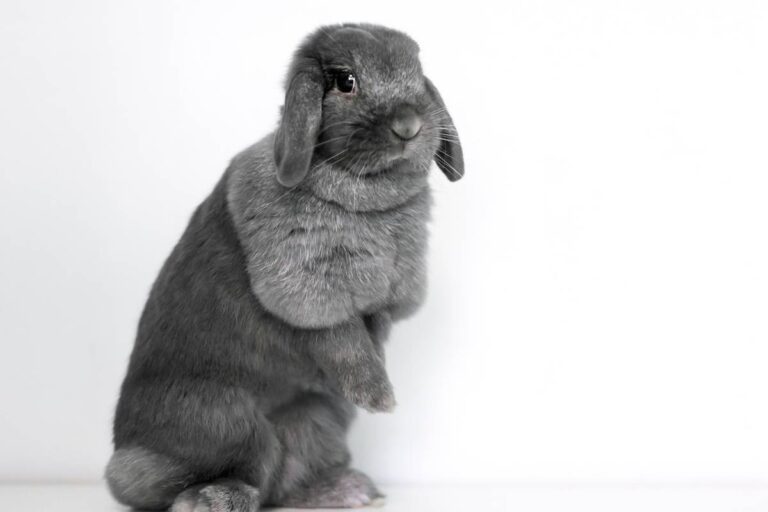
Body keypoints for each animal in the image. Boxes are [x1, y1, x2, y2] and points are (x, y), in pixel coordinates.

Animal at [106, 23, 463, 512]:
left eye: (417, 71)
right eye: (345, 81)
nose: (409, 126)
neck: (369, 195)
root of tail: (126, 451)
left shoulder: (389, 293)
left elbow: (372, 330)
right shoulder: (304, 284)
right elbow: (343, 339)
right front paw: (378, 396)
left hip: (317, 418)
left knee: (284, 478)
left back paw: (346, 489)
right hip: (224, 418)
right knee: (217, 475)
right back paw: (214, 498)